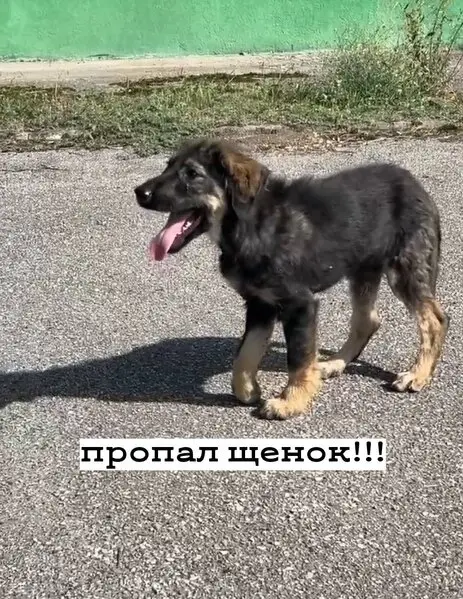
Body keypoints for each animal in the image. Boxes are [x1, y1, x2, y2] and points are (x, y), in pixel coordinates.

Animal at [134, 139, 448, 420]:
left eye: (192, 174)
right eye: (167, 166)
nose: (140, 192)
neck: (250, 227)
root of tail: (412, 181)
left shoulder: (299, 303)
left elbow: (298, 357)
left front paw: (290, 402)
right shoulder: (260, 302)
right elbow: (245, 353)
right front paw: (247, 390)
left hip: (406, 266)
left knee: (434, 320)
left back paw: (417, 374)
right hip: (363, 268)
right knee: (367, 320)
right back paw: (335, 363)